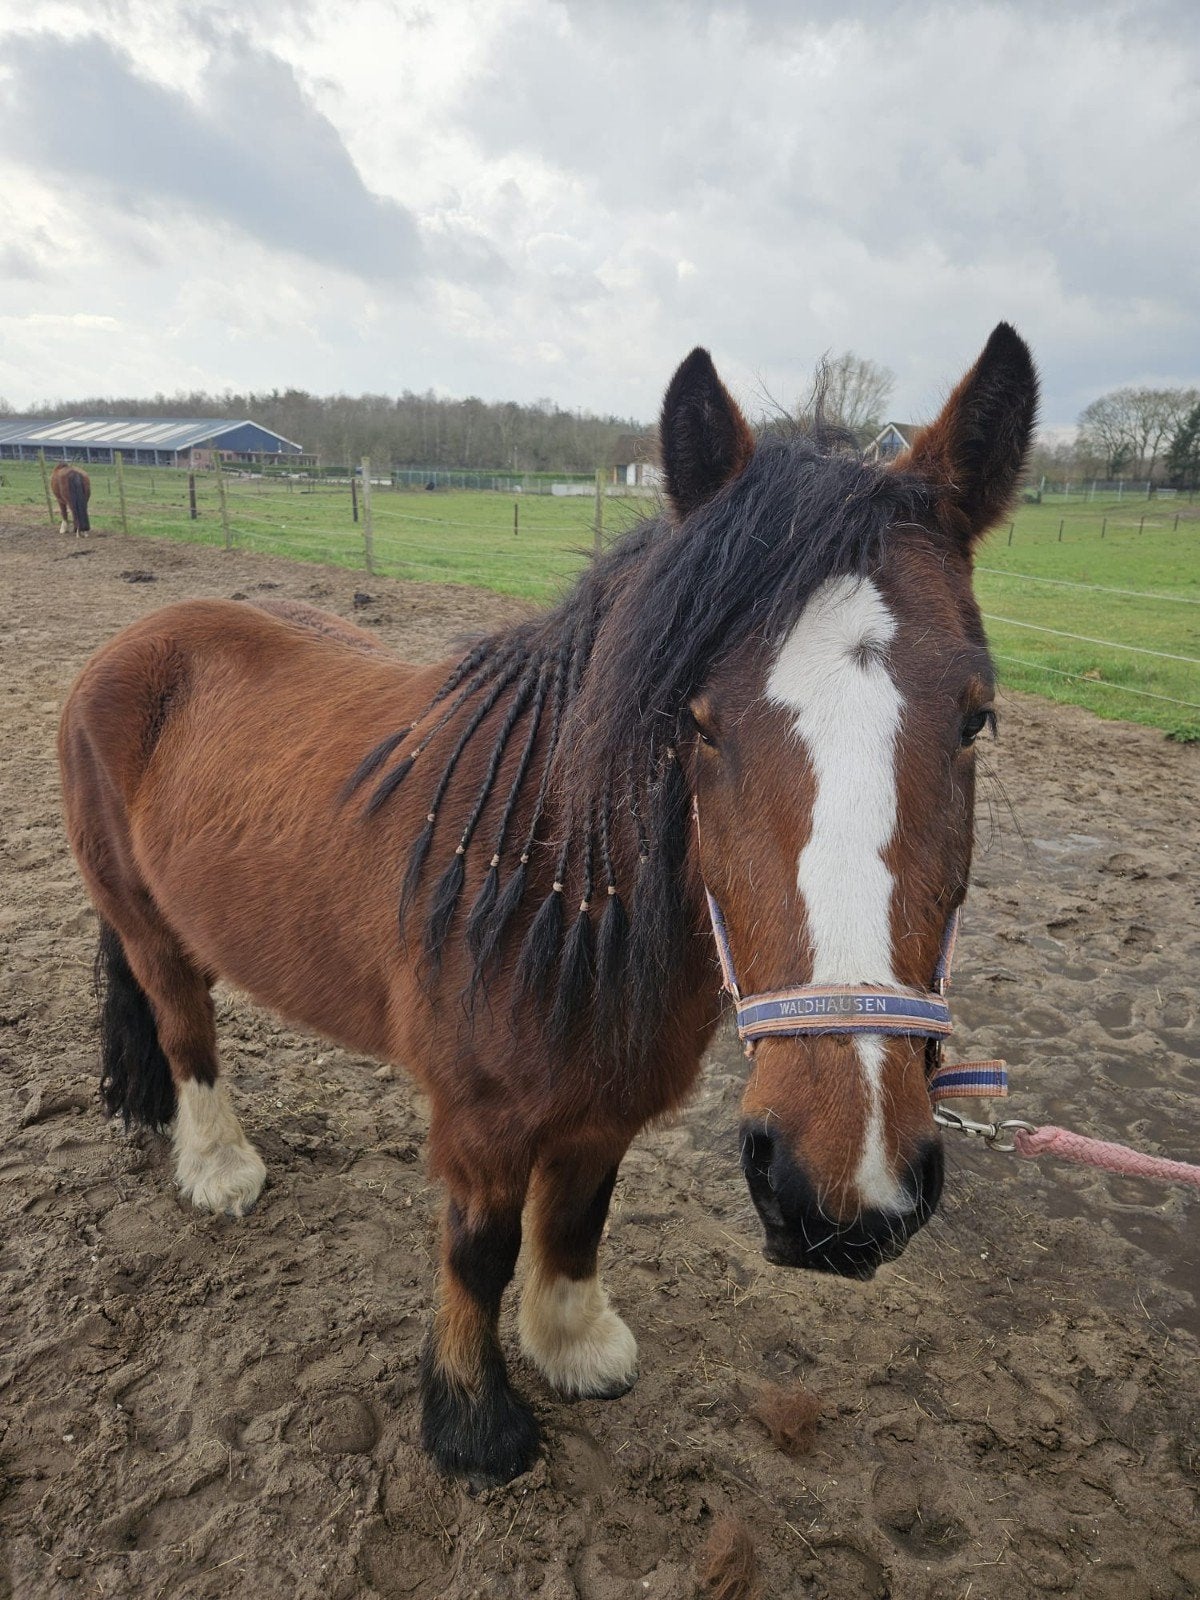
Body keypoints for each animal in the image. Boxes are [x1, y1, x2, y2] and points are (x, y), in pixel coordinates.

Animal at [58, 325, 1037, 1487]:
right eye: (697, 722)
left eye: (976, 719)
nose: (839, 1190)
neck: (553, 886)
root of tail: (140, 638)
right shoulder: (479, 1118)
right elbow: (478, 1252)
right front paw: (472, 1419)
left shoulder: (606, 1099)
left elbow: (576, 1217)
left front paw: (574, 1346)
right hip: (149, 925)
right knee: (184, 1028)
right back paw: (217, 1167)